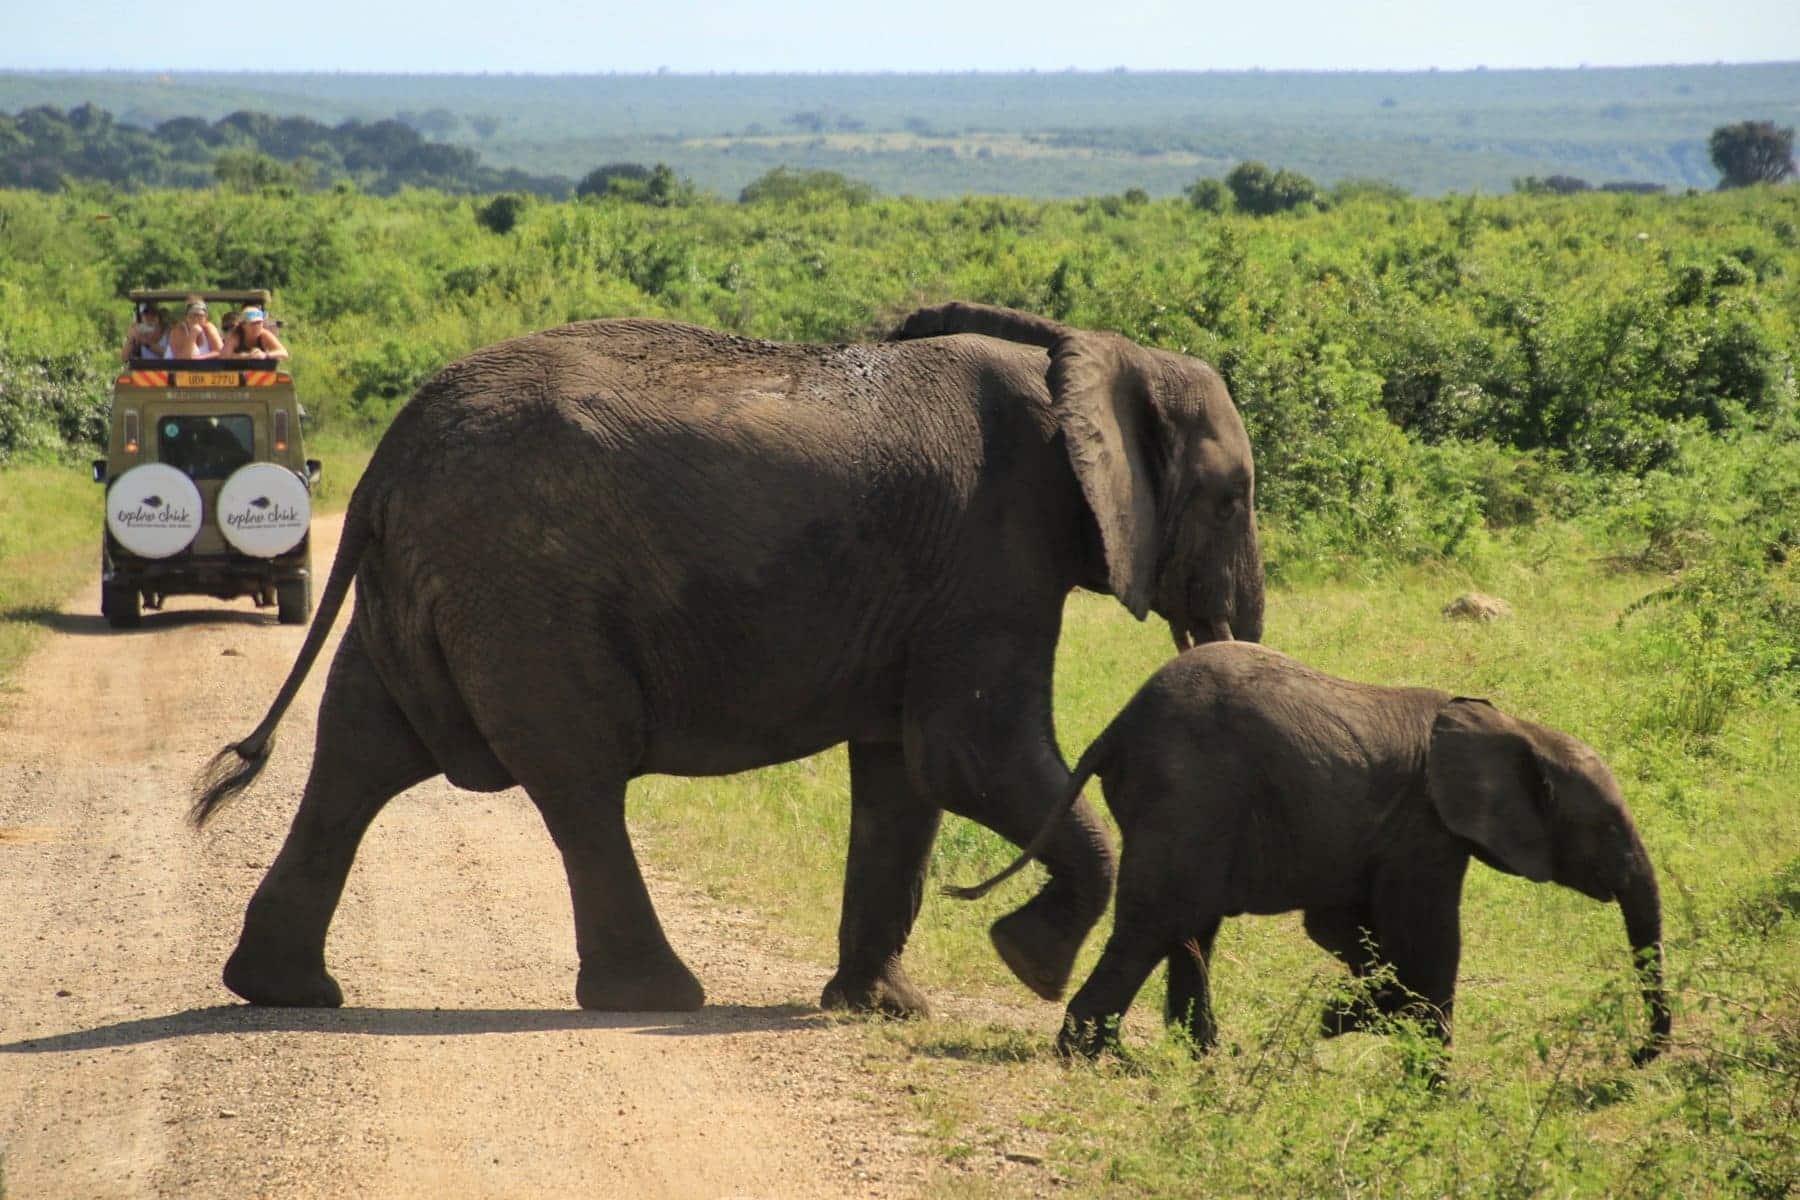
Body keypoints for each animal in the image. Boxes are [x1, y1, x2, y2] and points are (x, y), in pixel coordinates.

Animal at [193, 300, 1267, 1014]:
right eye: (1233, 498)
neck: (1093, 355)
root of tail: (389, 452)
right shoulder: (993, 554)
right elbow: (968, 755)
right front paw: (1028, 964)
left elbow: (904, 777)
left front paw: (880, 1009)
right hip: (522, 590)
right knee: (577, 778)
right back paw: (657, 998)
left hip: (428, 582)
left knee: (358, 755)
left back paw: (284, 990)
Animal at [950, 647, 1663, 1072]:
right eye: (1606, 826)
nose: (1636, 1059)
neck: (1516, 728)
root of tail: (1120, 723)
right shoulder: (1425, 828)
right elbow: (1428, 938)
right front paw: (1427, 1081)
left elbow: (1347, 929)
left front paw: (1349, 1019)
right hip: (1192, 790)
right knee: (1156, 922)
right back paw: (1098, 1057)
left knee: (1190, 925)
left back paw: (1207, 1054)